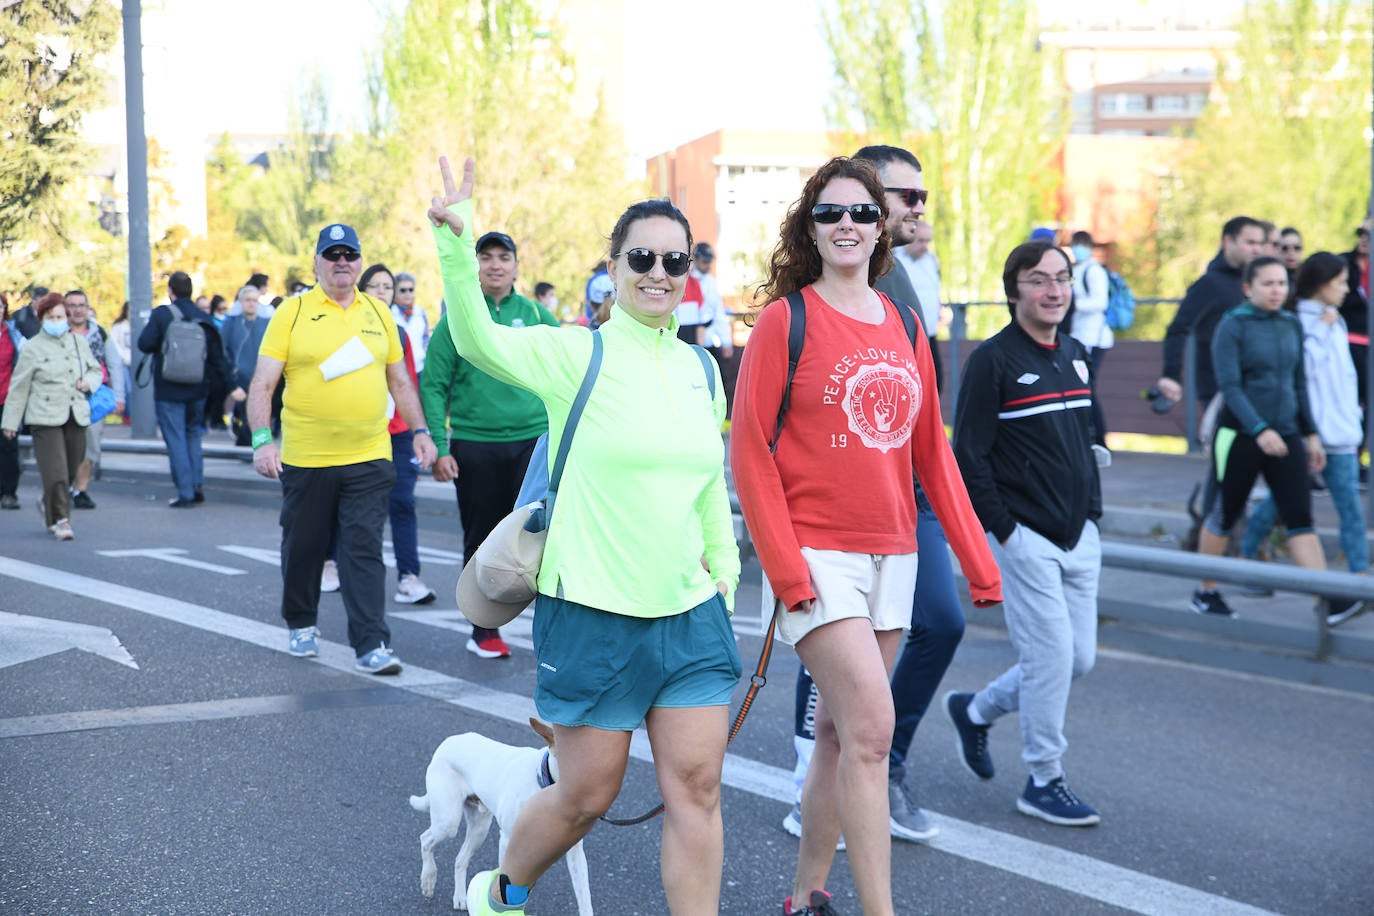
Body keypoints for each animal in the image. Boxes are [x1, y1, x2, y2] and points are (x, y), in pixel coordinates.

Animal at [406, 719, 590, 911]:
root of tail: (448, 741)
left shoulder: (575, 851)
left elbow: (584, 896)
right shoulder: (509, 840)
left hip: (479, 829)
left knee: (460, 859)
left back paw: (460, 897)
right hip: (448, 822)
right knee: (426, 839)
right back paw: (428, 879)